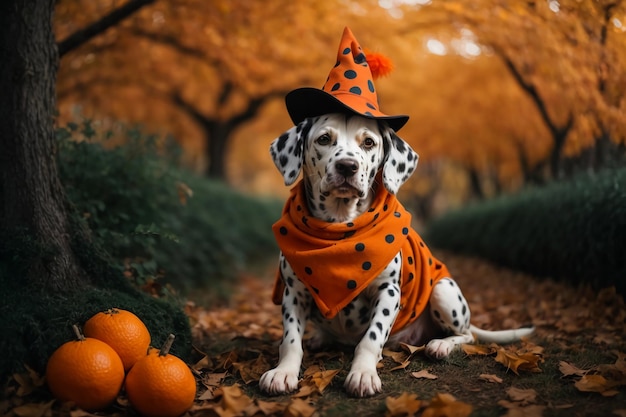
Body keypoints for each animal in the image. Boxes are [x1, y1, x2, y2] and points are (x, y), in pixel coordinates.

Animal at [258, 114, 532, 396]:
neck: (339, 231)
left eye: (368, 142)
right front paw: (283, 372)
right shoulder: (294, 293)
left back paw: (441, 345)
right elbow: (291, 340)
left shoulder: (388, 291)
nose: (347, 166)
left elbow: (371, 338)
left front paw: (363, 373)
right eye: (324, 139)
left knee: (468, 335)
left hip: (442, 290)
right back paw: (321, 338)